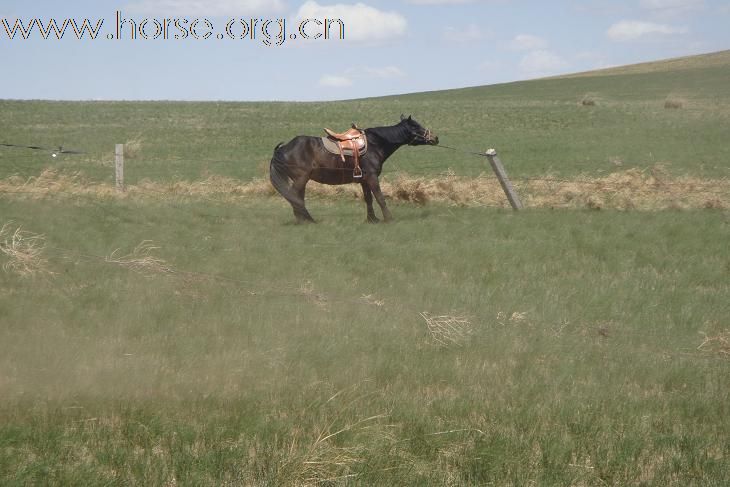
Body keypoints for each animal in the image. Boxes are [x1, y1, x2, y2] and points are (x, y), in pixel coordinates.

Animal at [268, 114, 436, 223]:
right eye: (416, 126)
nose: (435, 138)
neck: (375, 143)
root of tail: (283, 148)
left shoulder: (364, 180)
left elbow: (368, 199)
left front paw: (372, 219)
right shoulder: (372, 177)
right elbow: (380, 198)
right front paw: (389, 219)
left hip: (302, 180)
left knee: (297, 198)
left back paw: (306, 219)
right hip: (300, 178)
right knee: (293, 196)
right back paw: (305, 220)